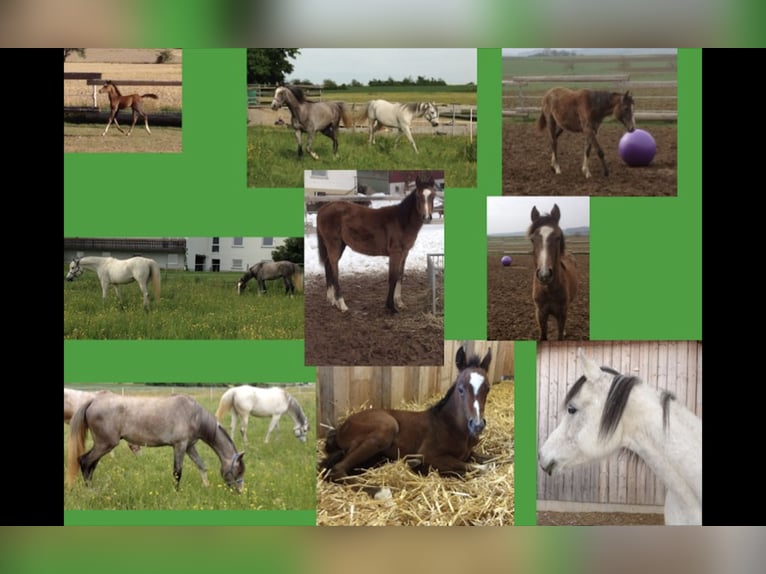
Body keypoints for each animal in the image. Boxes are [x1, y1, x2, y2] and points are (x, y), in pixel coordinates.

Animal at [66, 393, 245, 492]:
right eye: (238, 471)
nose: (240, 492)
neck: (194, 415)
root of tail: (93, 401)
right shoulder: (179, 446)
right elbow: (177, 472)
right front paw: (176, 493)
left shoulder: (189, 446)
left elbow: (201, 465)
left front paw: (206, 487)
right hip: (105, 444)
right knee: (85, 461)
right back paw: (90, 491)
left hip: (102, 445)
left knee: (91, 465)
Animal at [316, 173, 436, 313]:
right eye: (418, 196)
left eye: (433, 195)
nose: (427, 217)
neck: (401, 221)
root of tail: (324, 208)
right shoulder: (395, 254)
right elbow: (392, 278)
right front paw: (391, 307)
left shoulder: (404, 254)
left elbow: (400, 277)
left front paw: (400, 303)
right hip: (334, 245)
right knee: (334, 270)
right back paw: (342, 304)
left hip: (340, 245)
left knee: (328, 265)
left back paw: (332, 300)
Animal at [320, 345, 493, 485]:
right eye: (461, 389)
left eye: (487, 389)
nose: (477, 425)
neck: (450, 425)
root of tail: (341, 428)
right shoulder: (430, 455)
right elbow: (477, 468)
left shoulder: (470, 453)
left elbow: (491, 459)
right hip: (386, 427)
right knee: (337, 470)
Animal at [527, 204, 578, 340]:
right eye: (532, 240)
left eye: (558, 237)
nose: (544, 275)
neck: (549, 290)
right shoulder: (540, 313)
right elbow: (543, 336)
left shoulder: (561, 314)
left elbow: (560, 336)